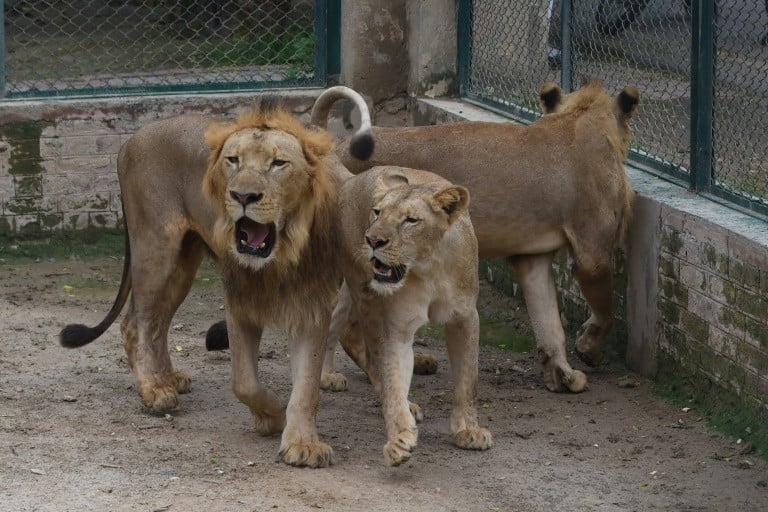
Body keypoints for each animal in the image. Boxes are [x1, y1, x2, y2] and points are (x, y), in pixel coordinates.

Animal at [56, 86, 372, 466]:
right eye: (232, 160)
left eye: (279, 163)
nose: (242, 195)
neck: (281, 254)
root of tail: (130, 140)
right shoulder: (239, 300)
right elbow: (245, 382)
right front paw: (271, 415)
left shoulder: (312, 306)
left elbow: (307, 386)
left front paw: (303, 443)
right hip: (155, 246)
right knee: (135, 322)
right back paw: (154, 391)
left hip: (183, 261)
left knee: (158, 321)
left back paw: (169, 378)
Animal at [320, 80, 640, 394]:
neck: (581, 116)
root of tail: (338, 148)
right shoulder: (593, 255)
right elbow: (605, 311)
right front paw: (589, 349)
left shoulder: (532, 259)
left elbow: (548, 321)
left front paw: (561, 374)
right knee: (345, 324)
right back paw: (342, 377)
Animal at [330, 166, 492, 466]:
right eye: (377, 212)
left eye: (411, 220)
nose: (372, 240)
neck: (430, 268)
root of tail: (355, 176)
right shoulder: (397, 327)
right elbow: (393, 380)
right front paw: (398, 439)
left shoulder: (466, 317)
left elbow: (468, 379)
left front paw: (469, 431)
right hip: (365, 294)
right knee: (365, 350)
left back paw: (326, 375)